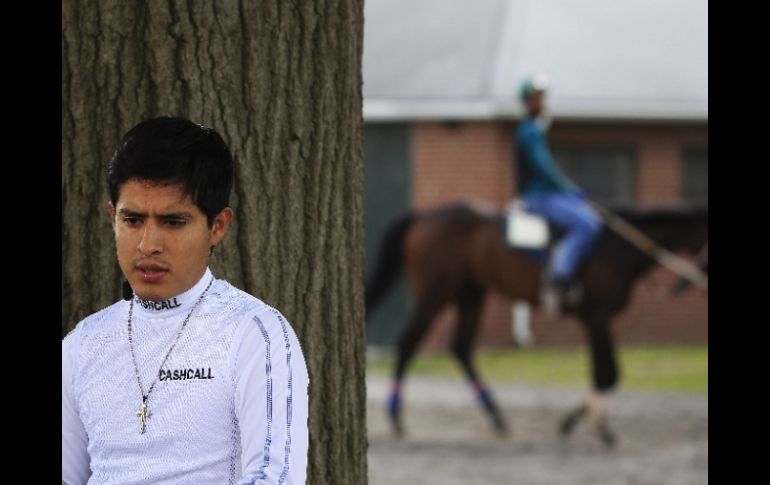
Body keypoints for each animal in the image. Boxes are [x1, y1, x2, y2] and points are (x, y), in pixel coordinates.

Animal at [364, 199, 704, 446]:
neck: (618, 248)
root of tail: (423, 214)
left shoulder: (596, 318)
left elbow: (607, 373)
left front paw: (577, 421)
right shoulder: (596, 315)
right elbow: (608, 373)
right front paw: (589, 426)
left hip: (471, 292)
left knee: (460, 348)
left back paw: (496, 417)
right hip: (437, 293)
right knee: (408, 344)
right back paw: (396, 419)